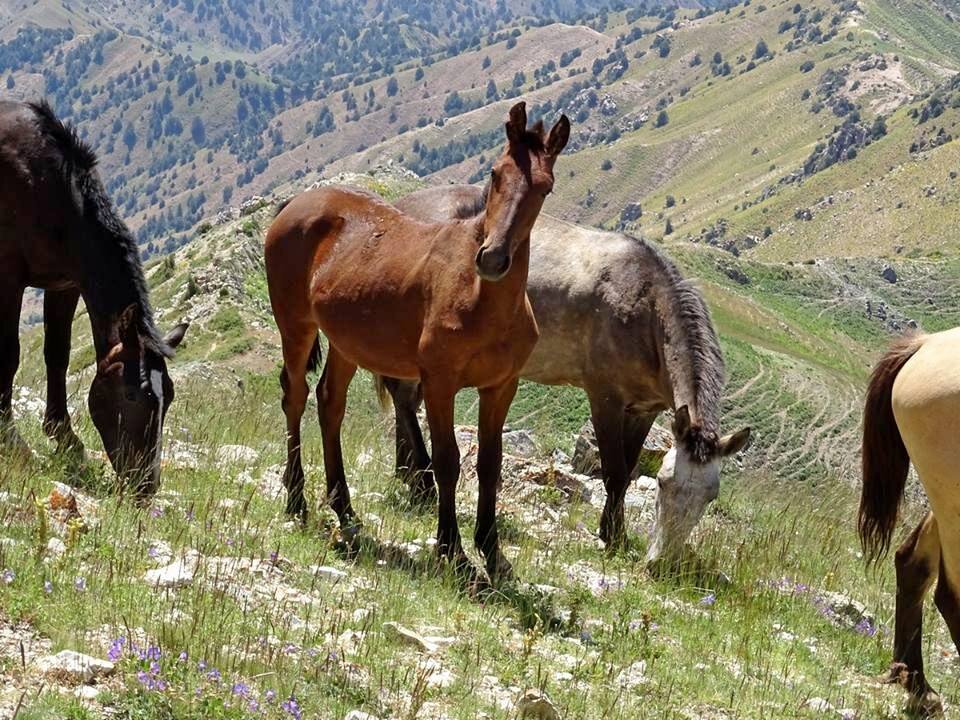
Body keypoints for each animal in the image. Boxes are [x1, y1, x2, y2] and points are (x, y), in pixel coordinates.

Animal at [0, 101, 188, 496]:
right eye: (132, 395)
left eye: (169, 395)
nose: (145, 486)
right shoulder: (8, 276)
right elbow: (10, 354)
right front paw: (10, 439)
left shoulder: (65, 283)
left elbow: (57, 354)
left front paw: (65, 438)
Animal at [264, 104, 568, 584]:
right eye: (495, 173)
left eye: (545, 187)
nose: (493, 258)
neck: (481, 297)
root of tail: (295, 203)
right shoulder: (440, 383)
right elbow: (447, 461)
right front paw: (454, 552)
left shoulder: (501, 387)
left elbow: (490, 466)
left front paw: (494, 555)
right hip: (295, 325)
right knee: (295, 396)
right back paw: (297, 501)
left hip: (347, 343)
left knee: (330, 403)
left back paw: (345, 511)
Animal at [380, 183, 752, 564]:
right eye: (664, 483)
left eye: (710, 496)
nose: (661, 564)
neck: (646, 312)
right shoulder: (605, 398)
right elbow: (615, 472)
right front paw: (612, 536)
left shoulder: (645, 410)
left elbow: (629, 471)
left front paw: (613, 531)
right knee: (403, 398)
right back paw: (422, 482)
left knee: (407, 400)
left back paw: (408, 474)